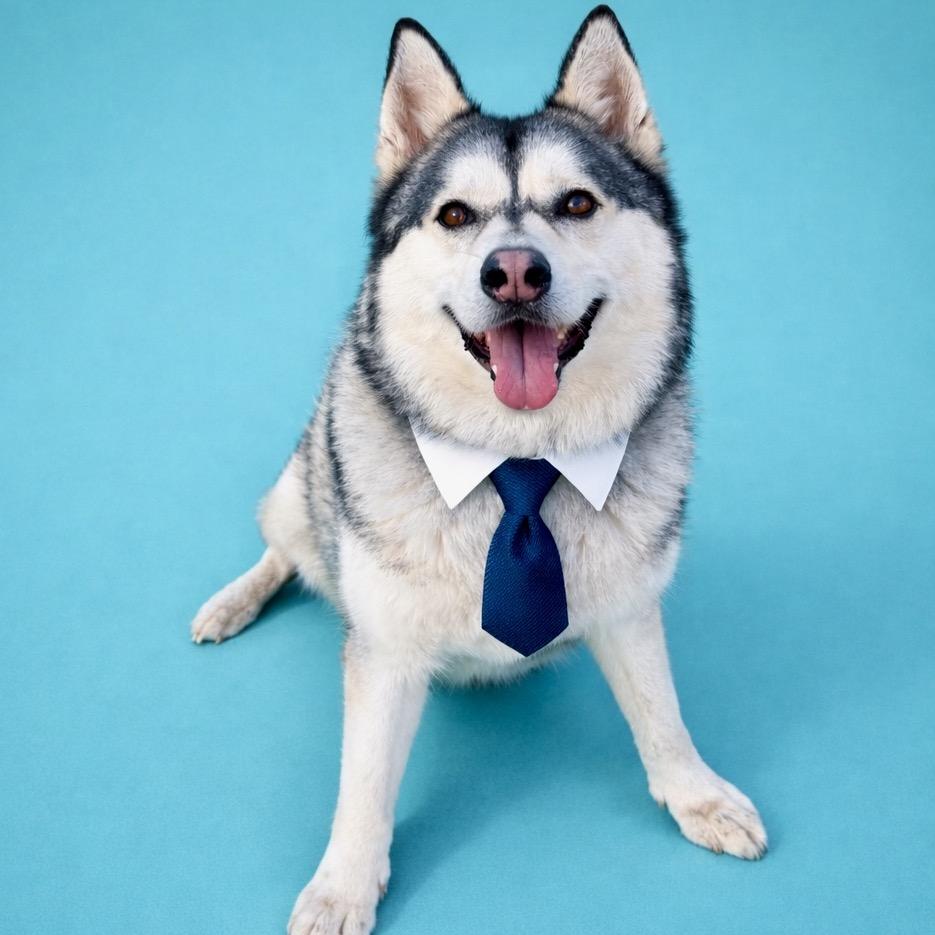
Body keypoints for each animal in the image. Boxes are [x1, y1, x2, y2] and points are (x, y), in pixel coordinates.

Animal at [191, 7, 767, 933]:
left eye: (576, 203)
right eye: (456, 214)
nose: (515, 271)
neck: (518, 462)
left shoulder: (629, 609)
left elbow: (661, 713)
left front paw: (694, 793)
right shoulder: (386, 653)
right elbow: (363, 784)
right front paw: (344, 881)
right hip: (298, 484)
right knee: (290, 547)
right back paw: (232, 600)